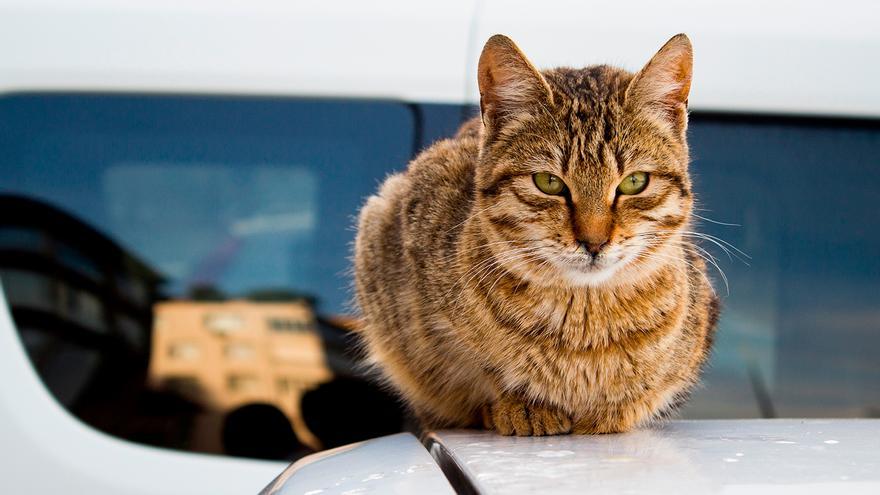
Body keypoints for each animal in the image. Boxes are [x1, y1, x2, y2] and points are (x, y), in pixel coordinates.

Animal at [354, 34, 720, 438]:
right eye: (548, 183)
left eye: (634, 182)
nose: (594, 242)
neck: (584, 325)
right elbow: (475, 373)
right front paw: (520, 405)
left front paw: (610, 412)